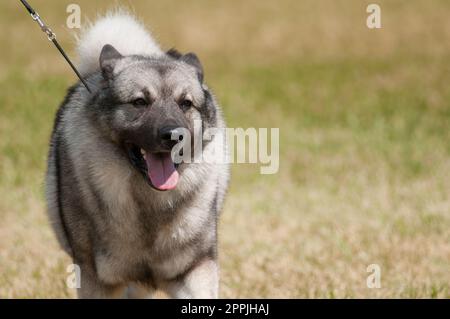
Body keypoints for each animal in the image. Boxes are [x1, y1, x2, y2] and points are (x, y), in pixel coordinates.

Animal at [45, 10, 229, 300]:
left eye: (185, 103)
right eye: (140, 102)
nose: (174, 135)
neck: (148, 201)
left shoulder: (195, 269)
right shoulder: (96, 279)